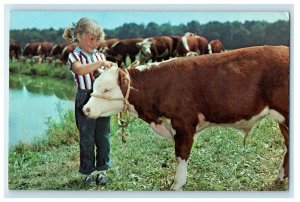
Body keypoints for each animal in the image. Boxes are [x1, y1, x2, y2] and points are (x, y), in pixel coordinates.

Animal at [83, 45, 290, 191]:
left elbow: (180, 156)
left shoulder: (183, 125)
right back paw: (280, 179)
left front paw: (177, 185)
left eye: (107, 89)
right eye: (94, 86)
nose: (85, 109)